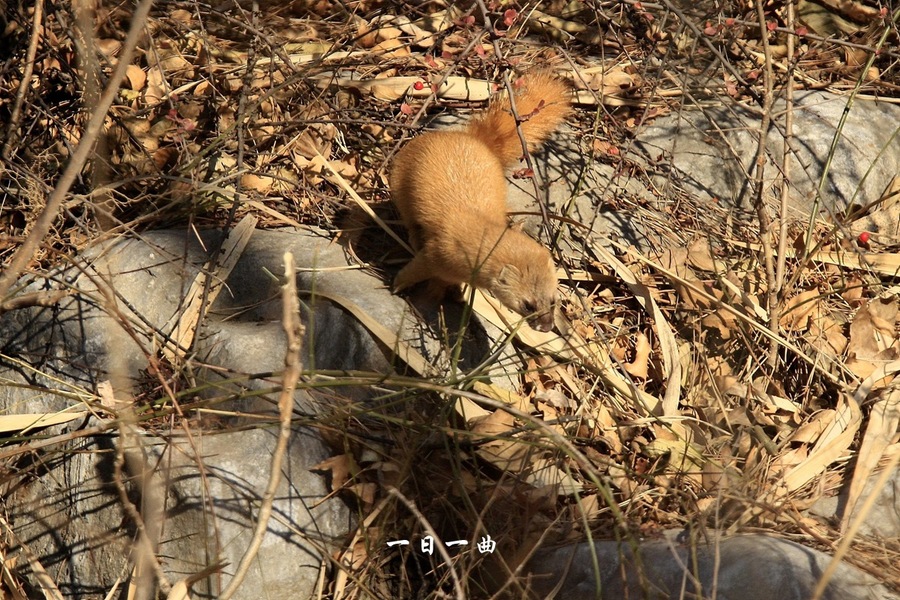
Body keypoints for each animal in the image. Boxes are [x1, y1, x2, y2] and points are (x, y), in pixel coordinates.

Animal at [386, 72, 568, 332]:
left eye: (553, 300)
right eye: (528, 305)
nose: (546, 327)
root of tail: (472, 139)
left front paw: (442, 292)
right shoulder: (436, 253)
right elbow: (415, 269)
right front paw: (398, 285)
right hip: (399, 181)